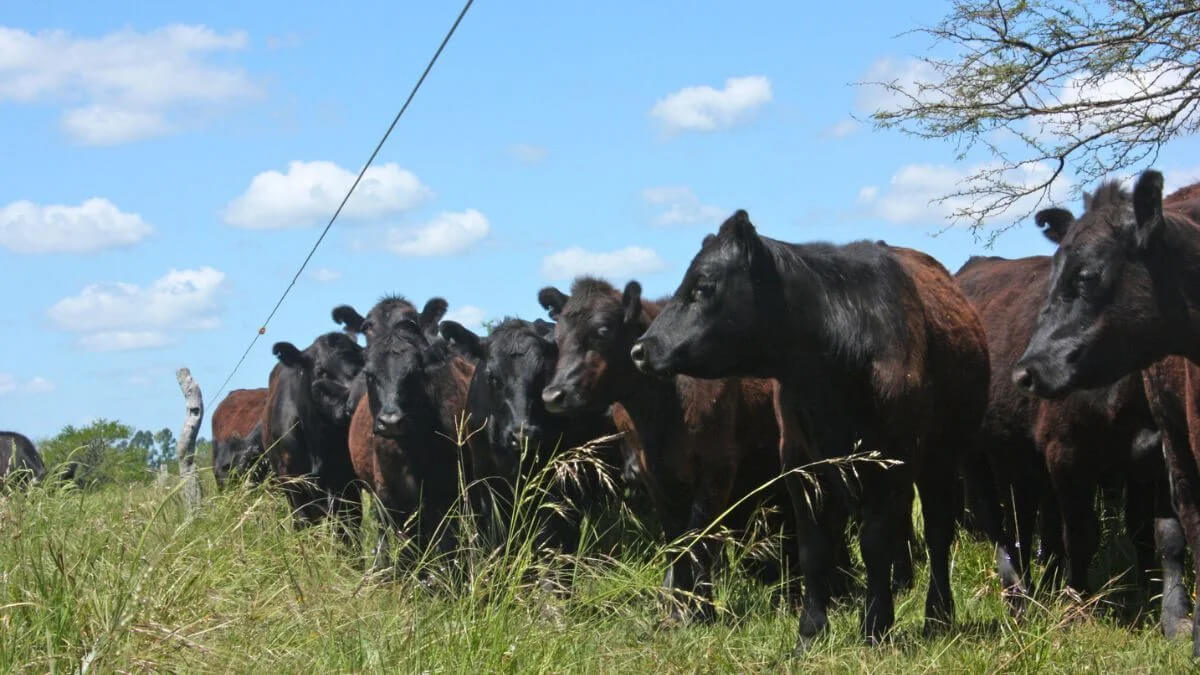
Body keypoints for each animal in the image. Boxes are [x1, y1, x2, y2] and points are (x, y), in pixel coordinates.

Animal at [262, 332, 365, 543]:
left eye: (361, 365)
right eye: (321, 370)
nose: (350, 403)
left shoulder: (346, 483)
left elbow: (348, 531)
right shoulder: (294, 482)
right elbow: (304, 525)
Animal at [439, 317, 621, 552]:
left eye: (543, 373)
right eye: (492, 376)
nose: (522, 435)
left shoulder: (556, 477)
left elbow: (549, 532)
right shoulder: (485, 474)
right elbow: (496, 530)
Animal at [538, 277, 801, 623]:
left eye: (603, 331)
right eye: (558, 338)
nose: (554, 395)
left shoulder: (717, 468)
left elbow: (699, 539)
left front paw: (701, 609)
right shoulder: (655, 475)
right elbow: (676, 540)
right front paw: (677, 608)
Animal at [632, 211, 990, 650]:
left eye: (703, 286)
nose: (640, 349)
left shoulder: (891, 463)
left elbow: (876, 543)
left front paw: (876, 625)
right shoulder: (802, 465)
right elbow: (813, 549)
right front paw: (810, 631)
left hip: (941, 458)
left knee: (939, 534)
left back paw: (938, 614)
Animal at [956, 255, 1184, 633]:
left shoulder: (1160, 457)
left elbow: (1163, 535)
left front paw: (1169, 610)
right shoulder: (1068, 453)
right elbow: (1080, 535)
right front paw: (1078, 606)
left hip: (1018, 455)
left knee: (1024, 523)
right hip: (976, 454)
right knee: (997, 523)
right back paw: (1018, 598)